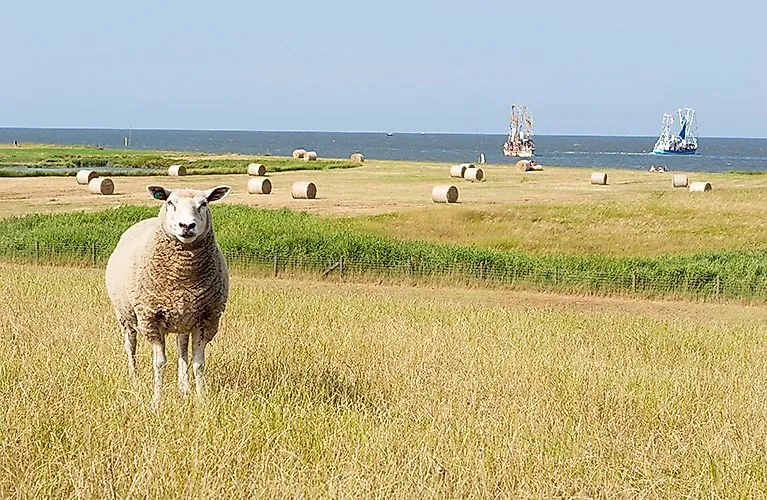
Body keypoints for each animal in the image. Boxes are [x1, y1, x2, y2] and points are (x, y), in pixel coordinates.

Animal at [105, 185, 231, 409]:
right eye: (170, 202)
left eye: (204, 204)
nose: (187, 225)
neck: (183, 278)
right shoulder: (150, 319)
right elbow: (160, 363)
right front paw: (157, 402)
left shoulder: (207, 319)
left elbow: (198, 363)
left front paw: (202, 399)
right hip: (124, 316)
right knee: (130, 347)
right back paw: (134, 379)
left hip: (184, 319)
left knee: (182, 350)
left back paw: (184, 388)